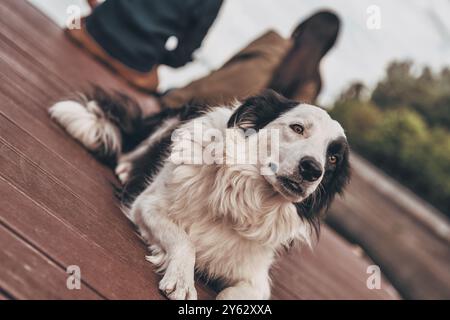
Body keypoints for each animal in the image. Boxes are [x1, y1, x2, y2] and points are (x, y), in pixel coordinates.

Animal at [50, 88, 352, 300]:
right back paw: (125, 168)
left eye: (333, 159)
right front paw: (182, 281)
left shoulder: (256, 279)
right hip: (171, 120)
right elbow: (185, 241)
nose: (313, 170)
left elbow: (237, 292)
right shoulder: (148, 206)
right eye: (297, 128)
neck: (243, 199)